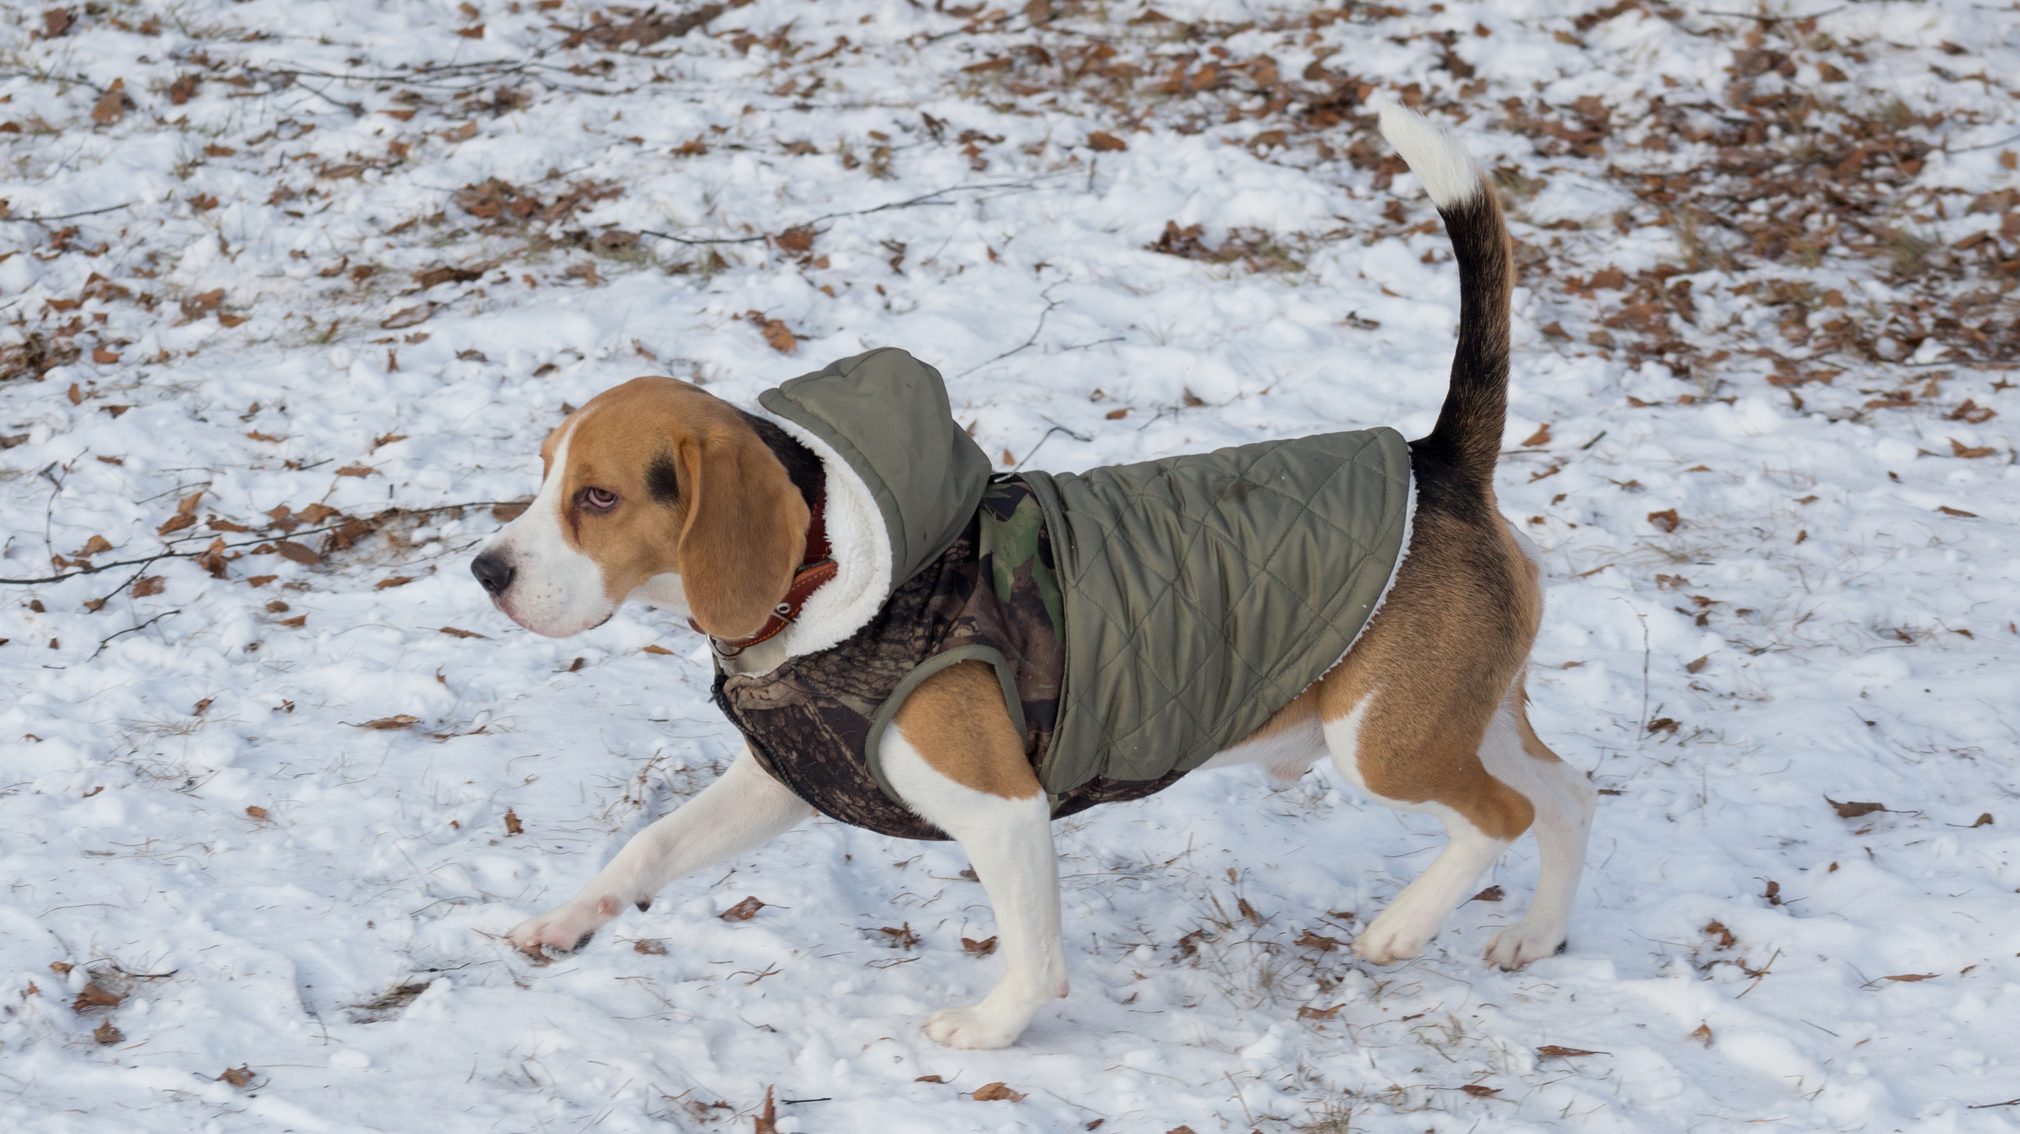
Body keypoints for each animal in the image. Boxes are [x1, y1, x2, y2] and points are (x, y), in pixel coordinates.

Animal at [468, 108, 1591, 1051]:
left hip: (1383, 742)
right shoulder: (782, 782)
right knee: (1566, 793)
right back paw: (1534, 937)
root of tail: (1437, 461)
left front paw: (991, 1027)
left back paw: (1402, 928)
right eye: (545, 475)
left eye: (599, 498)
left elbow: (1035, 951)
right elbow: (647, 850)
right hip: (1460, 713)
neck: (830, 570)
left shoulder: (1002, 807)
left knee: (1502, 817)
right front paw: (569, 921)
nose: (484, 569)